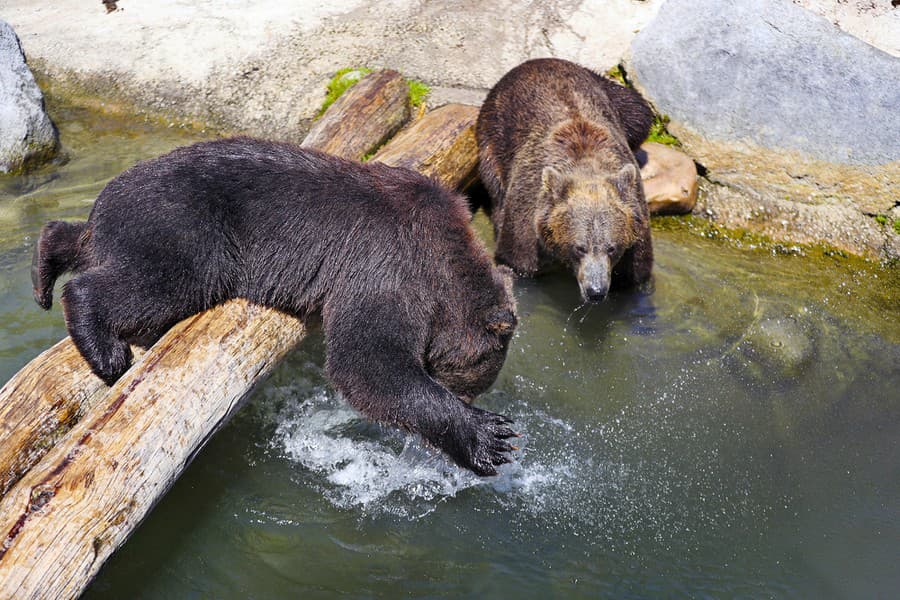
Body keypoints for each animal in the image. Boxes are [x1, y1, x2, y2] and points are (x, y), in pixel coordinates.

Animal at [33, 138, 520, 476]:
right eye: (475, 384)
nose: (468, 396)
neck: (445, 265)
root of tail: (107, 198)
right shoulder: (388, 268)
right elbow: (366, 361)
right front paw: (492, 436)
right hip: (187, 227)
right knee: (158, 280)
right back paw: (105, 348)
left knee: (82, 241)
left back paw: (43, 271)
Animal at [478, 58, 652, 302]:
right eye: (580, 248)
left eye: (612, 247)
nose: (596, 291)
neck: (586, 166)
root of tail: (538, 61)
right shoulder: (528, 217)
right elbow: (517, 259)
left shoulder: (636, 227)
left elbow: (634, 273)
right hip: (494, 131)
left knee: (639, 111)